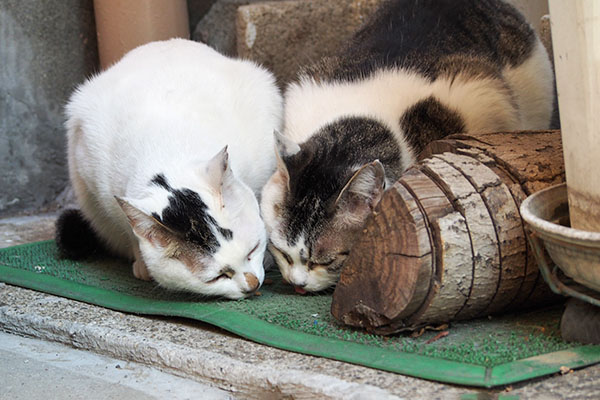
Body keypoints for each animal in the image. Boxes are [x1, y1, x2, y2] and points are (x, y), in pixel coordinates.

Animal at [56, 38, 282, 300]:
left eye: (252, 250)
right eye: (217, 277)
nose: (253, 284)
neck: (171, 147)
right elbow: (129, 229)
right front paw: (142, 263)